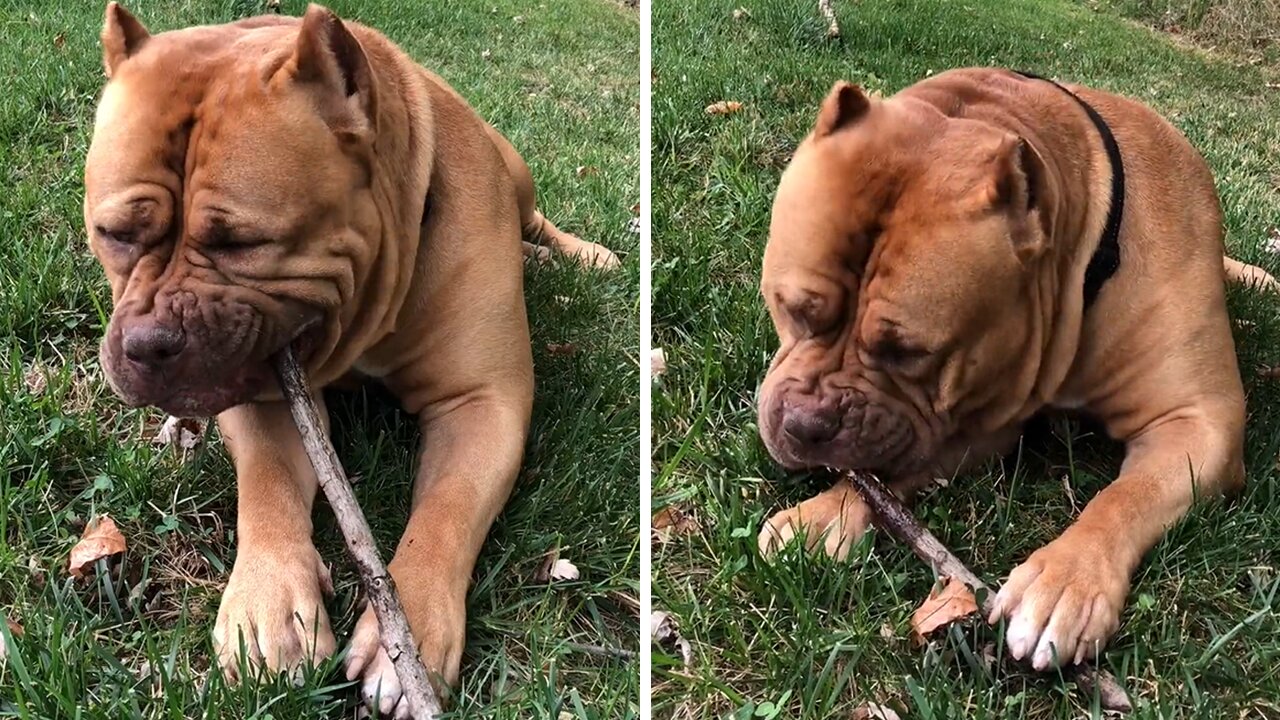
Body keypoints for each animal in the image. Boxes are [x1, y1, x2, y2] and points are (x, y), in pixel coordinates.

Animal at [82, 4, 616, 712]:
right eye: (113, 233)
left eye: (244, 243)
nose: (148, 342)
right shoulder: (265, 396)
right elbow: (268, 487)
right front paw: (268, 603)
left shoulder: (482, 404)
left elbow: (446, 510)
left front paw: (406, 636)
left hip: (518, 170)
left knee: (537, 219)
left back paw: (576, 255)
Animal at [752, 67, 1274, 666]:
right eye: (790, 308)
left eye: (910, 353)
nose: (806, 425)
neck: (1079, 270)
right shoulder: (978, 415)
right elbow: (892, 474)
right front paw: (822, 517)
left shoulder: (1200, 423)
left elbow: (1125, 496)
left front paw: (1067, 581)